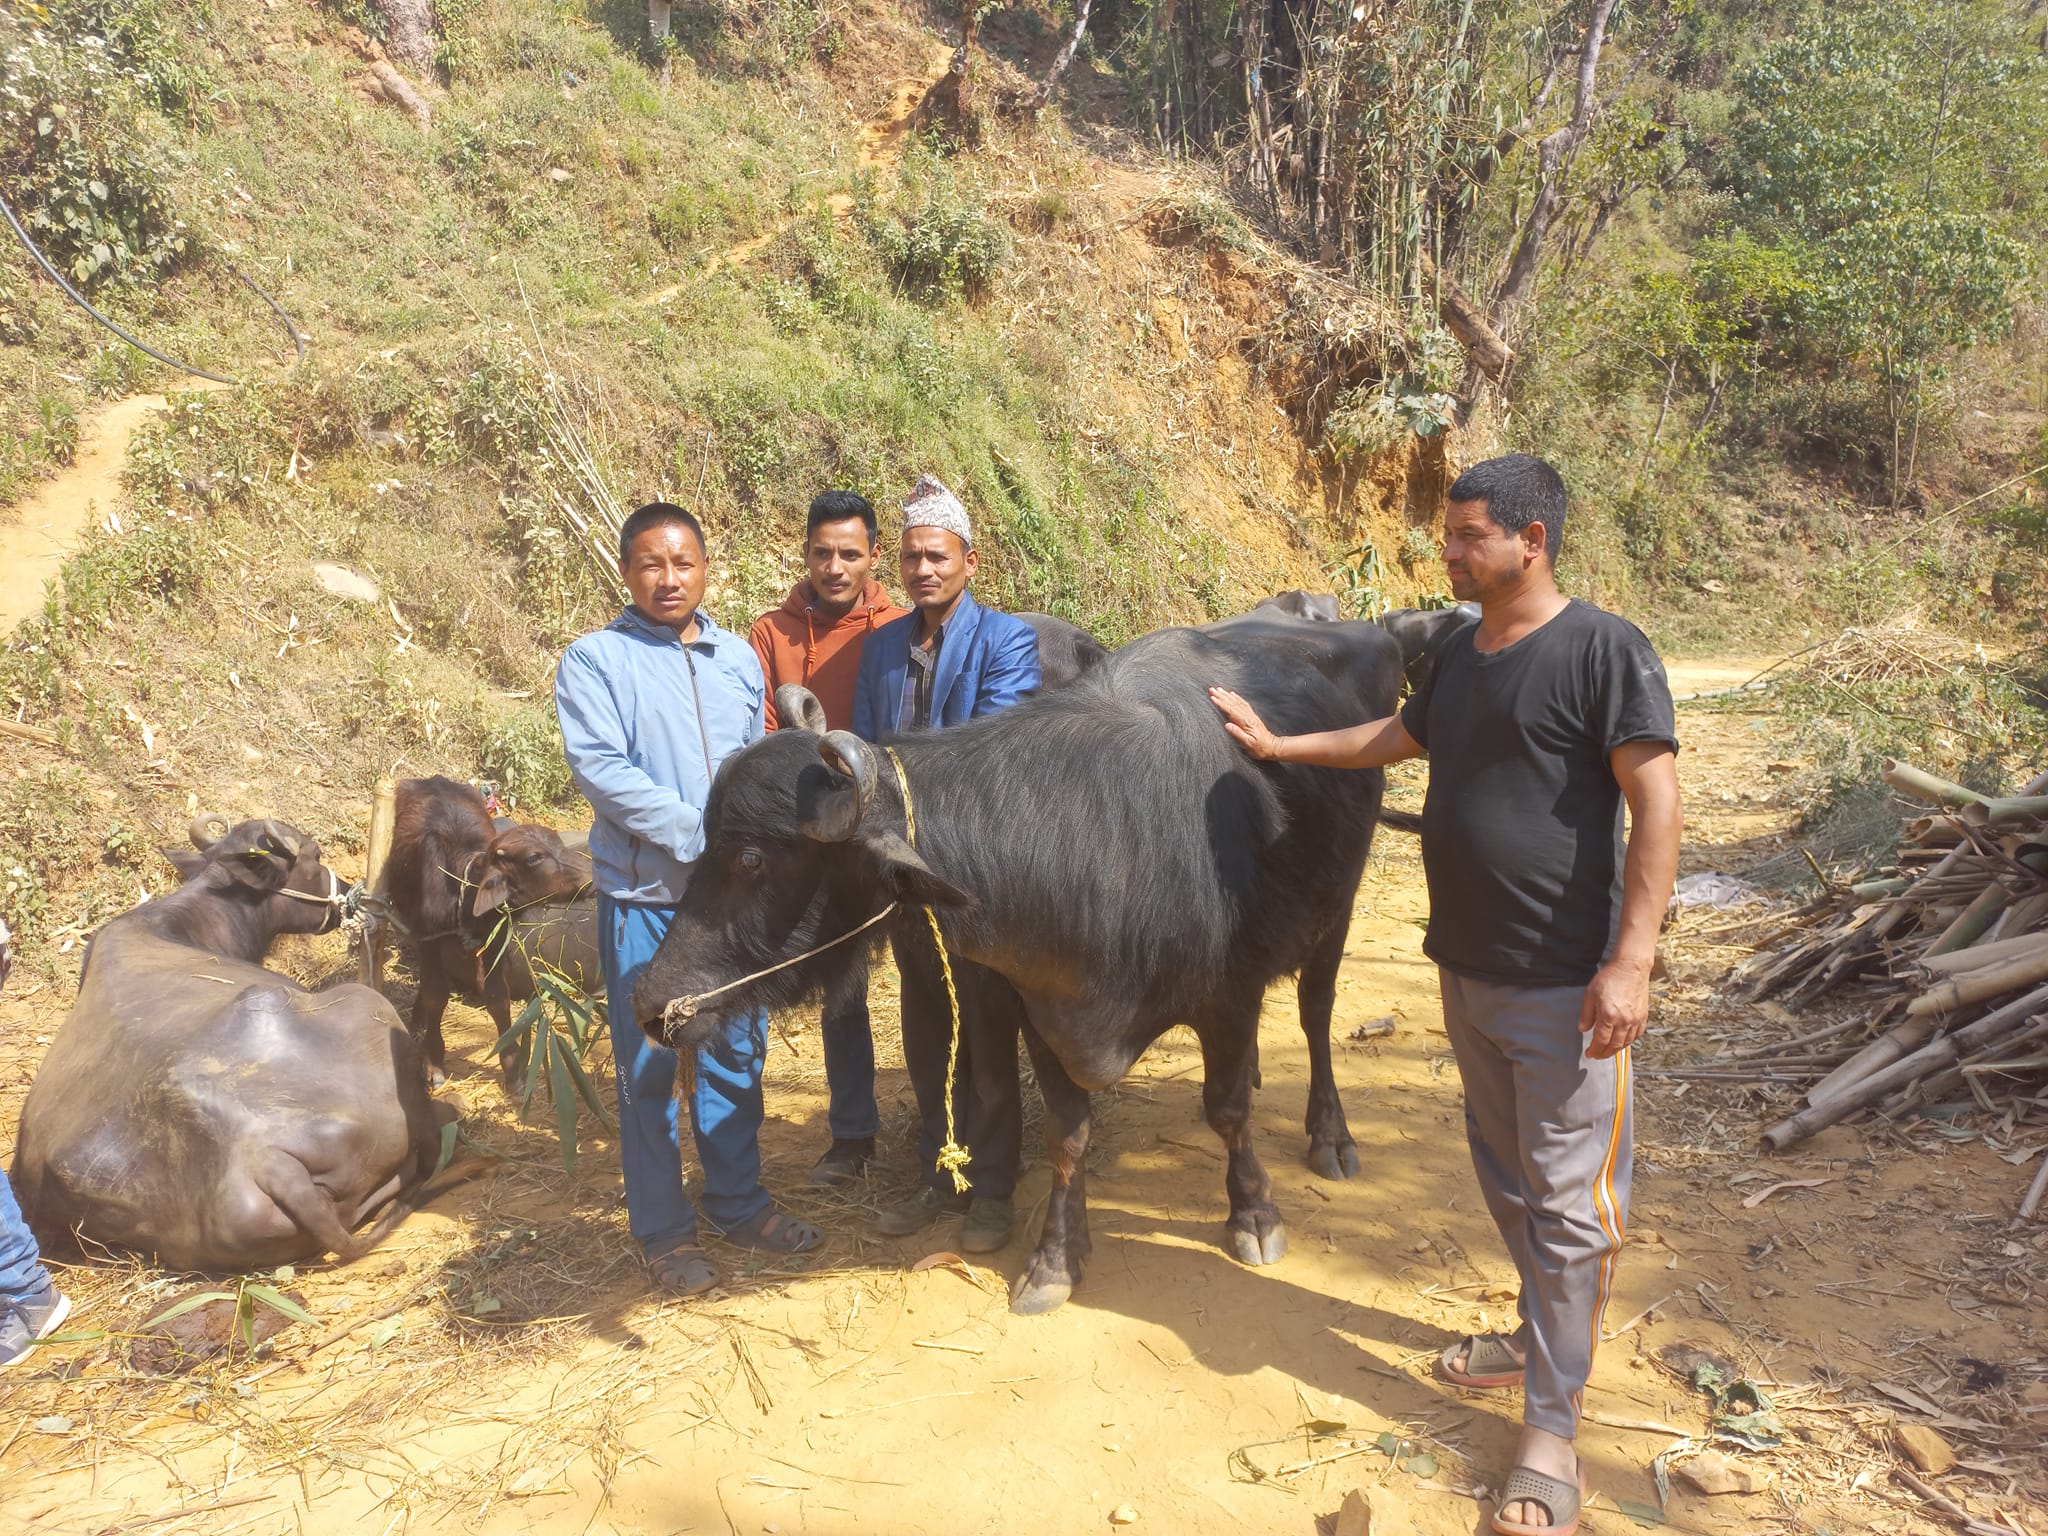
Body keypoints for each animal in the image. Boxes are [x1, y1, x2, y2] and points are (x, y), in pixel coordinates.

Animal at [622, 618, 1400, 1318]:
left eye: (753, 859)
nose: (652, 1003)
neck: (1100, 842)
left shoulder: (1229, 998)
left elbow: (1228, 1110)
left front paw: (1254, 1215)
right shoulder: (1045, 1006)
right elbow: (1066, 1135)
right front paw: (1055, 1259)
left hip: (1341, 900)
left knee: (1317, 1012)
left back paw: (1331, 1136)